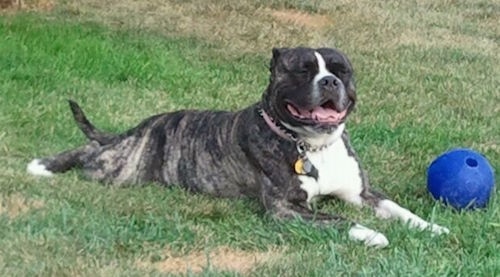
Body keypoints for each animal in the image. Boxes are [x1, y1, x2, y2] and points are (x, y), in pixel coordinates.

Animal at [27, 47, 450, 246]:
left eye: (340, 70)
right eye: (303, 71)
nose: (329, 82)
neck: (311, 146)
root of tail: (143, 126)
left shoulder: (362, 194)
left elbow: (399, 209)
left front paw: (432, 227)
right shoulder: (286, 209)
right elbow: (338, 220)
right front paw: (372, 235)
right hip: (119, 168)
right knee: (88, 154)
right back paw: (42, 166)